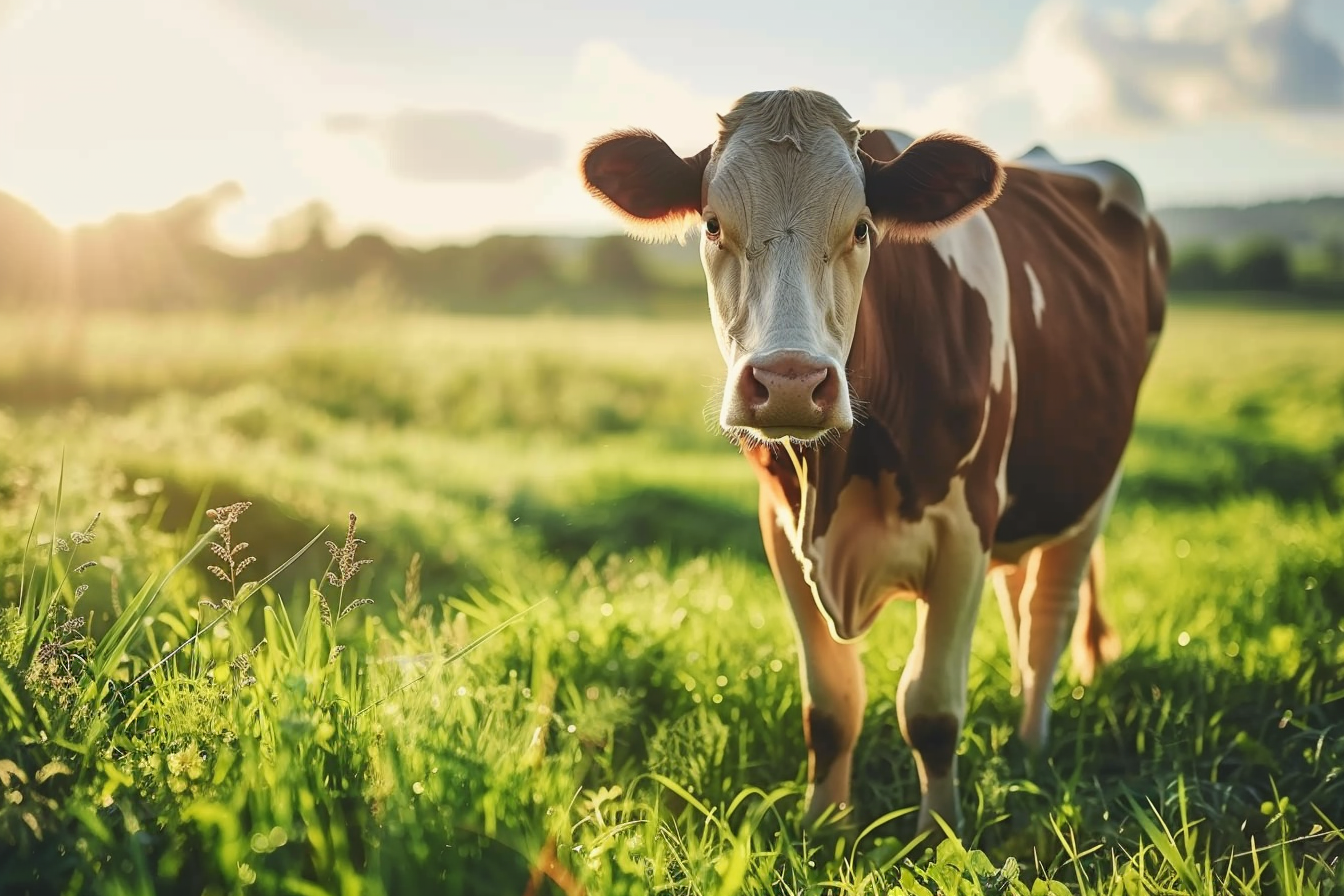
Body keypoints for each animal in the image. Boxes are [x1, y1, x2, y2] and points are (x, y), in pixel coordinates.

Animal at [579, 88, 1167, 835]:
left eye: (862, 229)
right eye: (712, 225)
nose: (791, 381)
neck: (839, 475)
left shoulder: (966, 526)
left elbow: (931, 710)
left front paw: (940, 835)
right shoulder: (783, 531)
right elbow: (831, 705)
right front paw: (823, 827)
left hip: (1093, 483)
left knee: (1048, 616)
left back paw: (1032, 744)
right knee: (1018, 599)